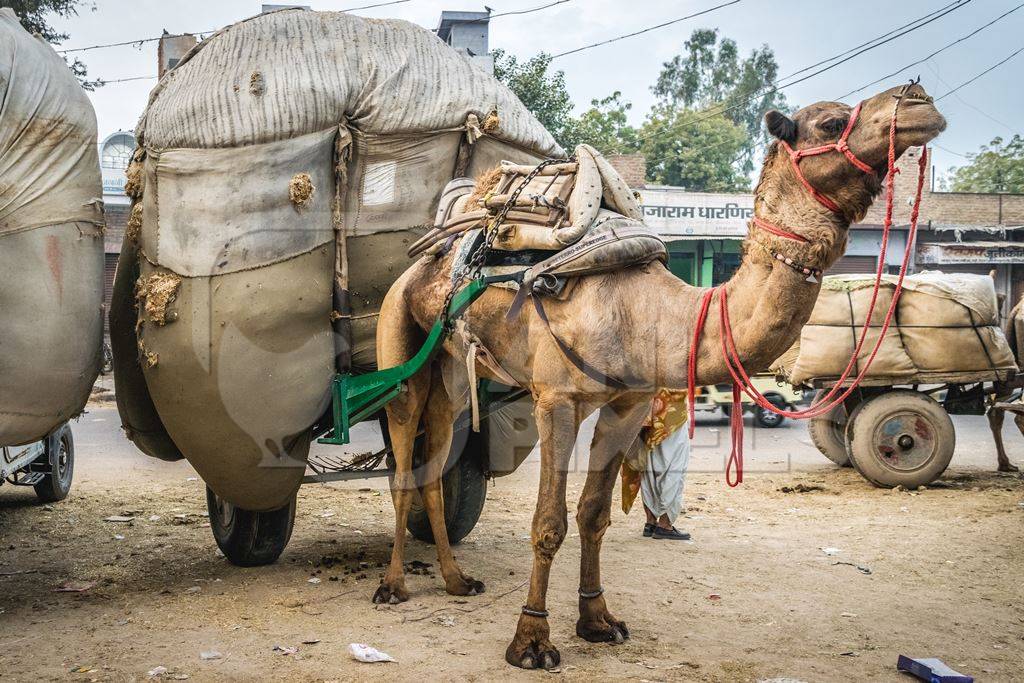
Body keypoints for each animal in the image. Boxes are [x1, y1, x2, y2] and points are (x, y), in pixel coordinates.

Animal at [372, 82, 946, 671]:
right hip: (398, 333)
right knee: (403, 447)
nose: (918, 100)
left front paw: (598, 620)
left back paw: (456, 581)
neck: (646, 311)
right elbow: (549, 522)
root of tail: (426, 255)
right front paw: (531, 641)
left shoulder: (626, 405)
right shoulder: (556, 400)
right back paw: (393, 586)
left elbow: (593, 514)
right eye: (830, 123)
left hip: (450, 369)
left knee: (436, 451)